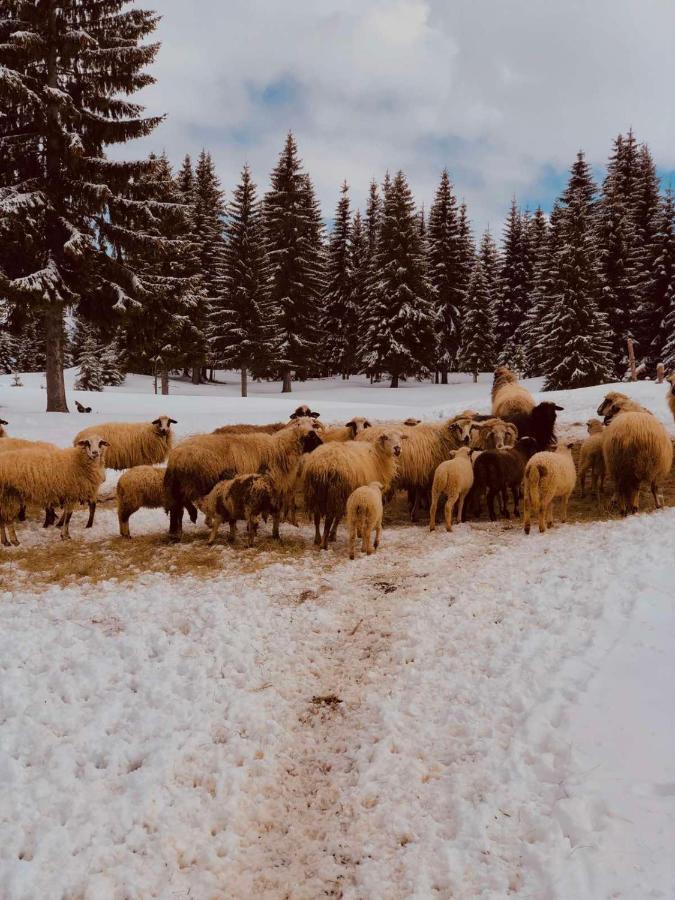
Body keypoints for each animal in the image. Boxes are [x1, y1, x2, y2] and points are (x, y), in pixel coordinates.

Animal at [164, 416, 322, 536]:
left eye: (314, 427)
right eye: (312, 434)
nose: (321, 444)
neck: (279, 449)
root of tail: (175, 456)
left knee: (176, 507)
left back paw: (175, 531)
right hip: (195, 481)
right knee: (182, 503)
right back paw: (190, 519)